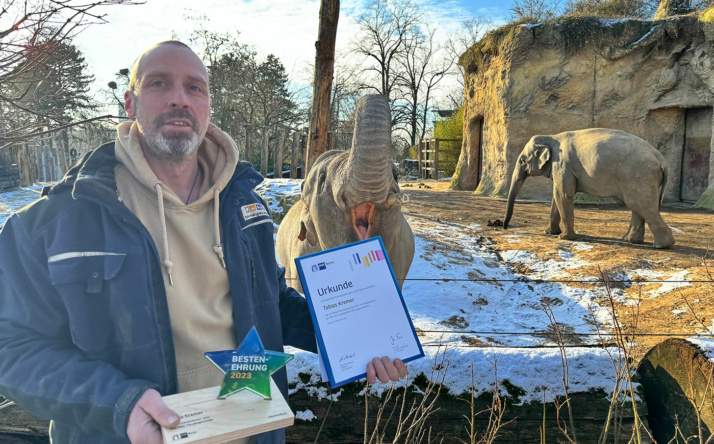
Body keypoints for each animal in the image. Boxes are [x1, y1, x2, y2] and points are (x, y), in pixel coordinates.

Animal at [500, 127, 672, 250]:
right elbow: (557, 196)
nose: (504, 226)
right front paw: (549, 232)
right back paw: (630, 240)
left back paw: (662, 245)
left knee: (642, 206)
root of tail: (662, 159)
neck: (551, 136)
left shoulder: (563, 165)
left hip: (639, 176)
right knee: (638, 206)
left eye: (522, 161)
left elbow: (563, 195)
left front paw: (564, 237)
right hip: (641, 179)